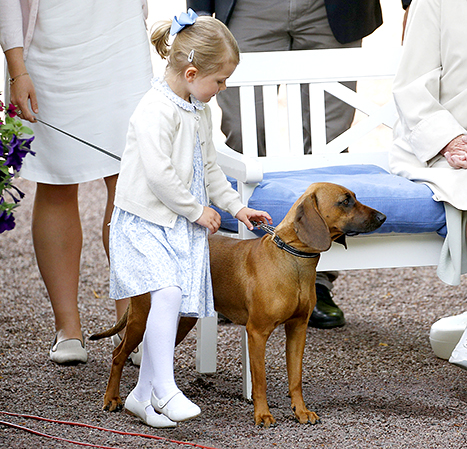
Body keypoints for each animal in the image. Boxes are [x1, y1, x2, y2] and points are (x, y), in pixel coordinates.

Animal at [90, 181, 384, 428]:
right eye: (345, 201)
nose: (383, 217)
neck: (292, 260)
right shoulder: (257, 333)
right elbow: (260, 380)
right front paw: (263, 415)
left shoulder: (298, 329)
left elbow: (296, 378)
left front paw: (300, 412)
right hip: (142, 317)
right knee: (118, 354)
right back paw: (112, 399)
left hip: (182, 320)